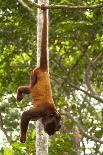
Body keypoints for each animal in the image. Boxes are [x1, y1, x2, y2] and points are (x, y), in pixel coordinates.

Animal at [16, 4, 60, 143]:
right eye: (56, 127)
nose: (52, 133)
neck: (52, 113)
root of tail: (44, 70)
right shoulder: (42, 111)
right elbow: (26, 114)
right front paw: (23, 137)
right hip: (34, 73)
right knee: (31, 87)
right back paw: (20, 91)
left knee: (30, 89)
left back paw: (21, 92)